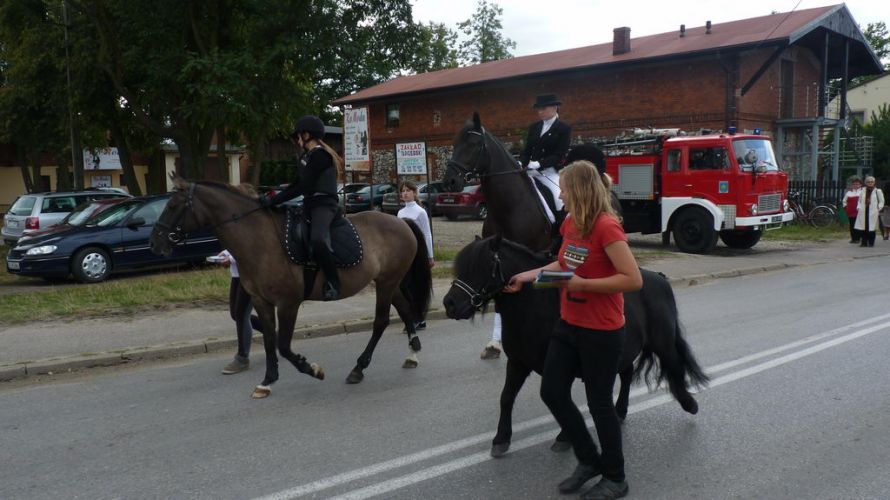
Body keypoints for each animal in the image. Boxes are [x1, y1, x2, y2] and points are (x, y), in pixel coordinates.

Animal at [148, 176, 430, 398]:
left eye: (172, 206)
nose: (154, 242)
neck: (259, 240)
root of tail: (400, 222)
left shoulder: (288, 303)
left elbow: (283, 345)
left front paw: (312, 369)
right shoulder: (261, 301)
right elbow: (269, 339)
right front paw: (267, 381)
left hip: (387, 281)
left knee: (381, 321)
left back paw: (359, 368)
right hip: (388, 281)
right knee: (405, 310)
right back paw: (412, 355)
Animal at [438, 236, 708, 458]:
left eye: (480, 266)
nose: (450, 304)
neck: (535, 308)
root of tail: (659, 279)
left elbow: (561, 401)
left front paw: (564, 438)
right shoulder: (518, 362)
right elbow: (506, 397)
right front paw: (501, 440)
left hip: (662, 341)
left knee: (673, 366)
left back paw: (689, 404)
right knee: (627, 375)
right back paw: (620, 411)